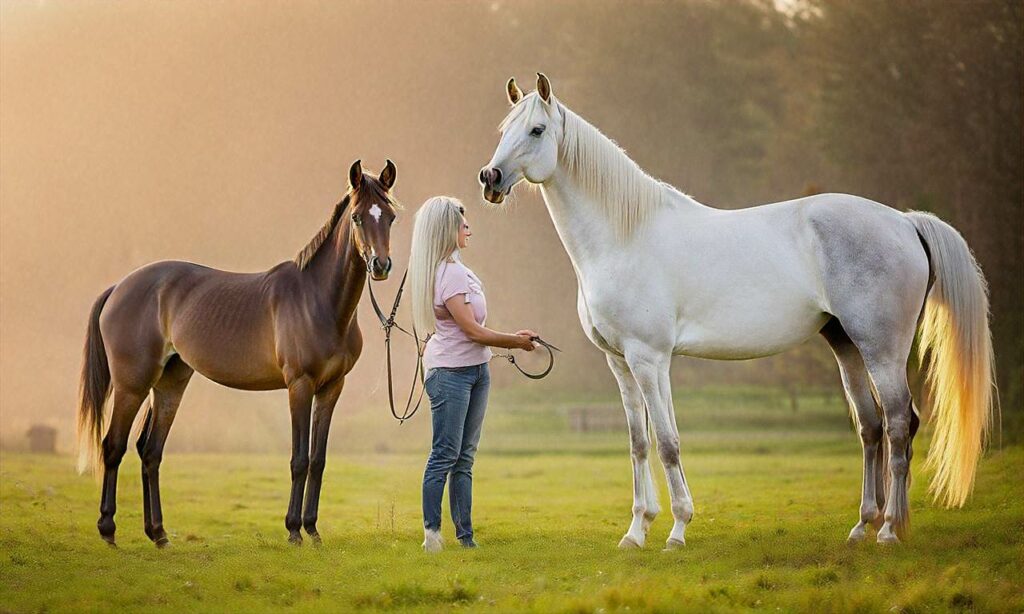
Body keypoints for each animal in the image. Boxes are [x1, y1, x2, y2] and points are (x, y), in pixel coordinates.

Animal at [74, 158, 395, 548]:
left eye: (390, 216)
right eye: (358, 217)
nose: (380, 266)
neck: (319, 300)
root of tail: (119, 287)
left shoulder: (332, 388)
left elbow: (318, 460)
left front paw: (313, 530)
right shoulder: (299, 386)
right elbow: (299, 459)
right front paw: (293, 530)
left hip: (170, 383)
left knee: (150, 452)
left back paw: (159, 534)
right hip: (131, 386)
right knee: (113, 446)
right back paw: (108, 530)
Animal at [479, 74, 991, 548]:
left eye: (537, 129)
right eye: (504, 128)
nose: (490, 179)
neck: (624, 236)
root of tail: (904, 221)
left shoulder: (649, 358)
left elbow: (667, 442)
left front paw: (676, 530)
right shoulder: (621, 363)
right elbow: (640, 442)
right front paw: (637, 531)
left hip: (881, 349)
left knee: (901, 423)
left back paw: (889, 531)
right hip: (845, 344)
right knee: (872, 426)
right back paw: (863, 526)